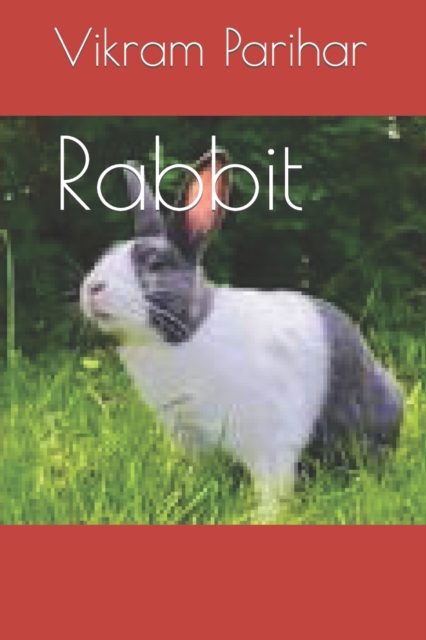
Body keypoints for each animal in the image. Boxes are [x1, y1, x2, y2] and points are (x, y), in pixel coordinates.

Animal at [80, 148, 404, 520]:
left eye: (156, 265)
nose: (92, 288)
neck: (186, 334)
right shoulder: (191, 437)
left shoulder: (272, 442)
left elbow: (272, 488)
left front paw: (262, 519)